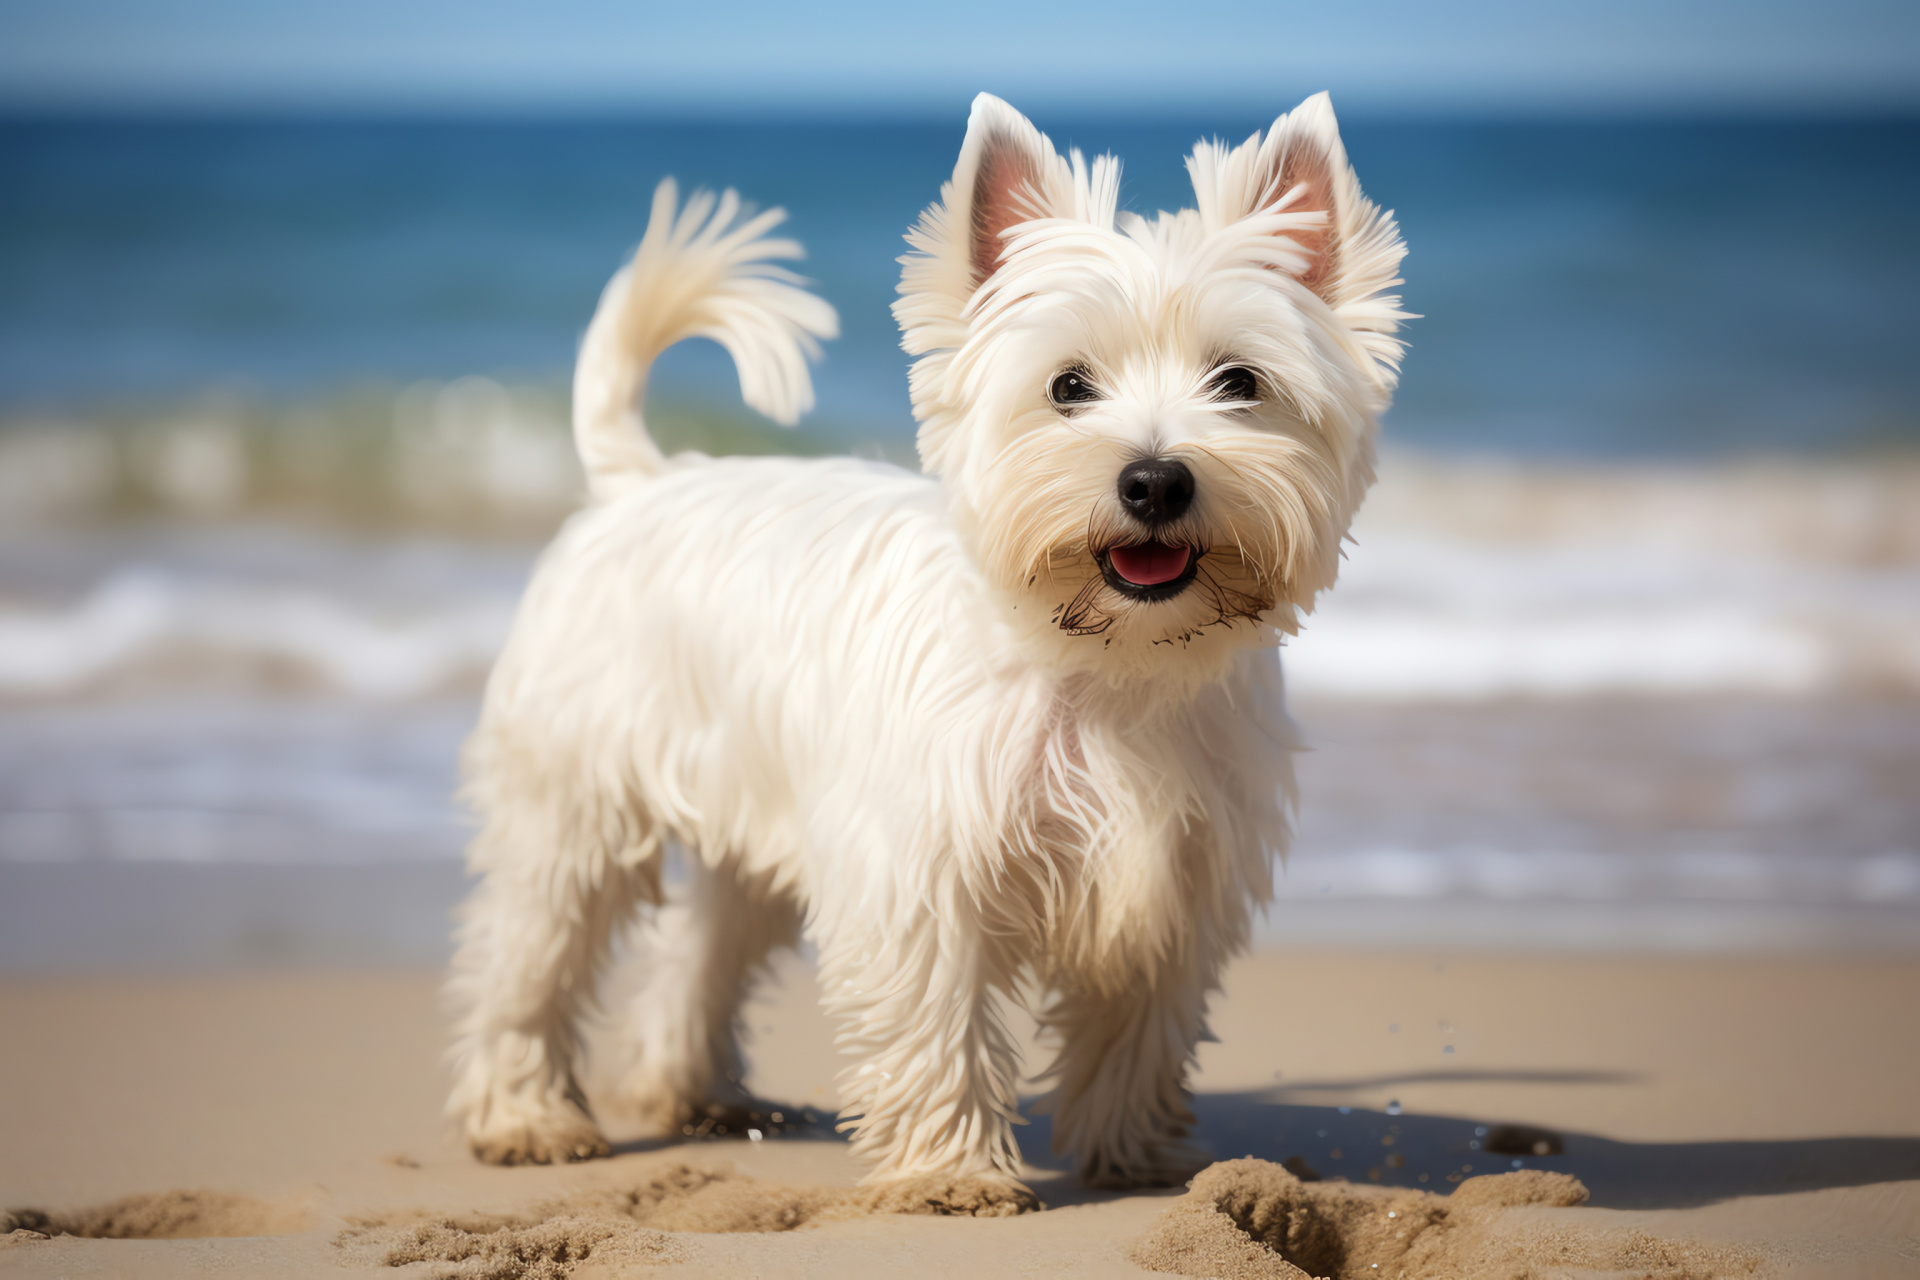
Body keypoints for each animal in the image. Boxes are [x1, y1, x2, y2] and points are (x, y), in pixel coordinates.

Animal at [449, 92, 1413, 1212]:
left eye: (1239, 380)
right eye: (1068, 386)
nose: (1154, 481)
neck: (1109, 669)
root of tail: (640, 479)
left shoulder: (1178, 882)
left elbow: (1138, 1032)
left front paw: (1135, 1153)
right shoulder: (924, 872)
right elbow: (940, 1021)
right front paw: (951, 1173)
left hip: (751, 828)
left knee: (698, 950)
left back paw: (690, 1094)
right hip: (574, 811)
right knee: (528, 957)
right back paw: (524, 1118)